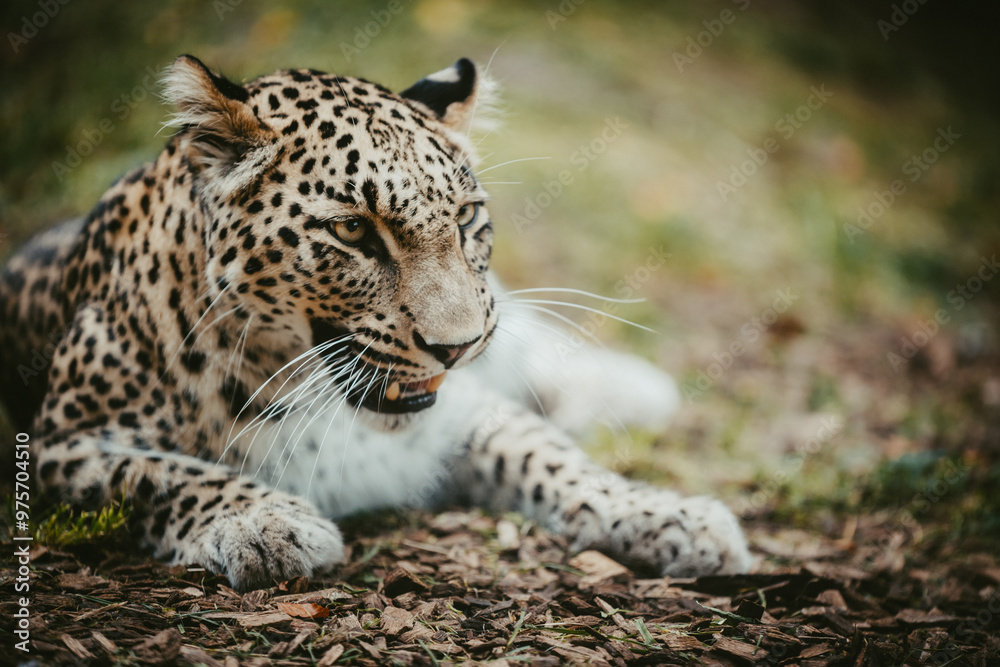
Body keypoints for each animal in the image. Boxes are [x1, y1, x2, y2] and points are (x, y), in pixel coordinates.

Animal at [0, 55, 752, 590]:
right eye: (354, 230)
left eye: (465, 218)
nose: (457, 348)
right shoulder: (58, 442)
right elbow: (156, 473)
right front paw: (264, 520)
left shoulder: (468, 413)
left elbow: (553, 458)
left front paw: (677, 517)